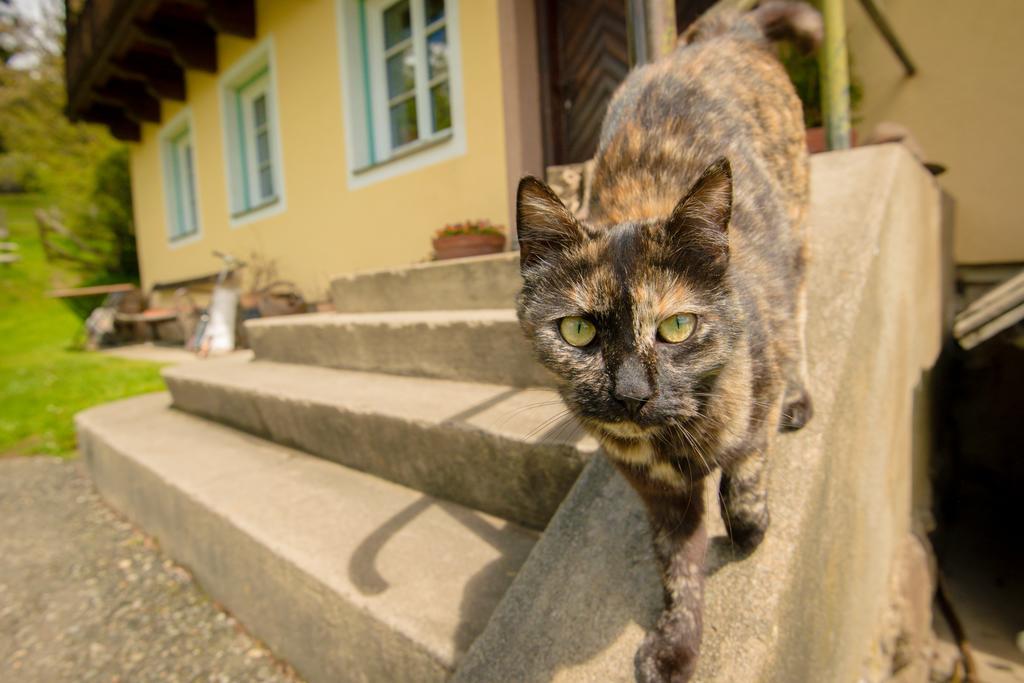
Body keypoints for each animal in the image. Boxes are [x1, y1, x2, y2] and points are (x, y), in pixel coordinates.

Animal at [516, 2, 819, 679]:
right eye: (578, 330)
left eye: (677, 326)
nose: (630, 393)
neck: (671, 439)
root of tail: (725, 35)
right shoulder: (659, 497)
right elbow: (678, 569)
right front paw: (677, 645)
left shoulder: (757, 387)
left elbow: (746, 470)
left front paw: (750, 528)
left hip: (797, 233)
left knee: (800, 312)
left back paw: (800, 399)